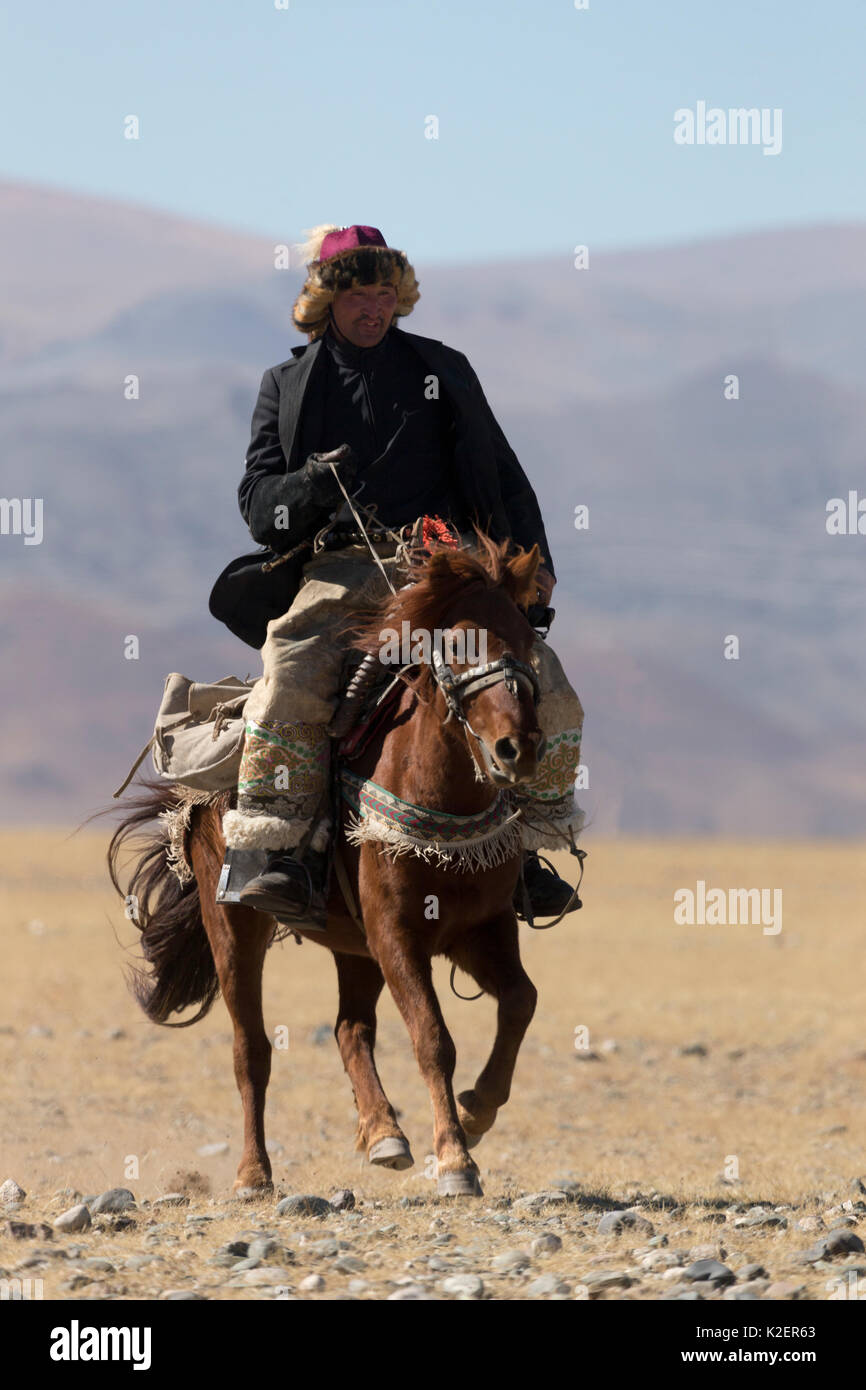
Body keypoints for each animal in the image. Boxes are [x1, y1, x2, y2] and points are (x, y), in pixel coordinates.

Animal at [108, 530, 547, 1195]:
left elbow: (521, 1001)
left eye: (527, 638)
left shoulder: (480, 929)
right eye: (456, 644)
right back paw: (254, 1173)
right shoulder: (397, 935)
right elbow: (432, 1038)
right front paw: (455, 1161)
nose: (516, 748)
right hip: (233, 922)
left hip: (352, 944)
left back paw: (384, 1133)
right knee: (251, 1051)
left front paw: (475, 1111)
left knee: (349, 1029)